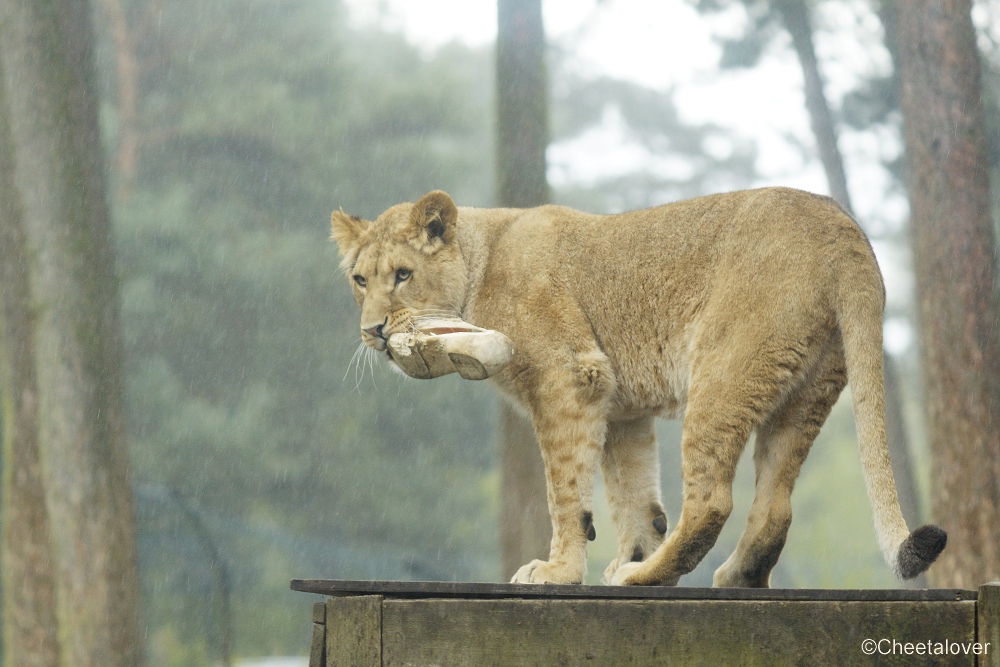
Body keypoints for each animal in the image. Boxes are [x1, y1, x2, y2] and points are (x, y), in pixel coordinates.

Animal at [330, 185, 944, 588]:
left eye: (403, 275)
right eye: (359, 280)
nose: (372, 331)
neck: (480, 262)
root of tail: (843, 228)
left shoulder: (570, 377)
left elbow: (565, 491)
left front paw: (559, 571)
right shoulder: (622, 409)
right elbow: (633, 495)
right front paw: (628, 549)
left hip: (721, 371)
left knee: (712, 500)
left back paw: (643, 577)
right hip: (808, 390)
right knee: (775, 506)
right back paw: (728, 578)